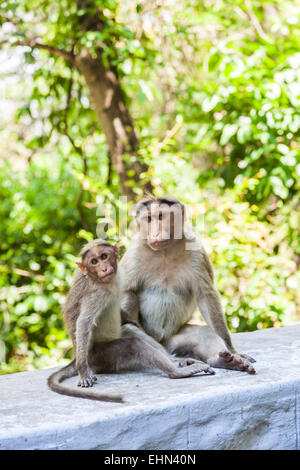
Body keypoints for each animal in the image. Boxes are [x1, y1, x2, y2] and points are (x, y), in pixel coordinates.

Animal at [48, 241, 212, 402]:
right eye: (94, 262)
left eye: (104, 256)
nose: (103, 268)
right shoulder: (97, 293)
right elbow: (83, 323)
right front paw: (83, 372)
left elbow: (127, 321)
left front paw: (130, 319)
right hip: (100, 356)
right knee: (133, 344)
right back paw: (176, 372)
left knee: (130, 330)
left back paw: (175, 361)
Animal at [119, 195, 255, 374]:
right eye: (148, 219)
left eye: (161, 216)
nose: (154, 232)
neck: (164, 251)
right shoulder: (134, 254)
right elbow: (123, 293)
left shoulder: (196, 249)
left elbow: (205, 296)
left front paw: (232, 350)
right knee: (129, 303)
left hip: (172, 339)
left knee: (200, 333)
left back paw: (224, 361)